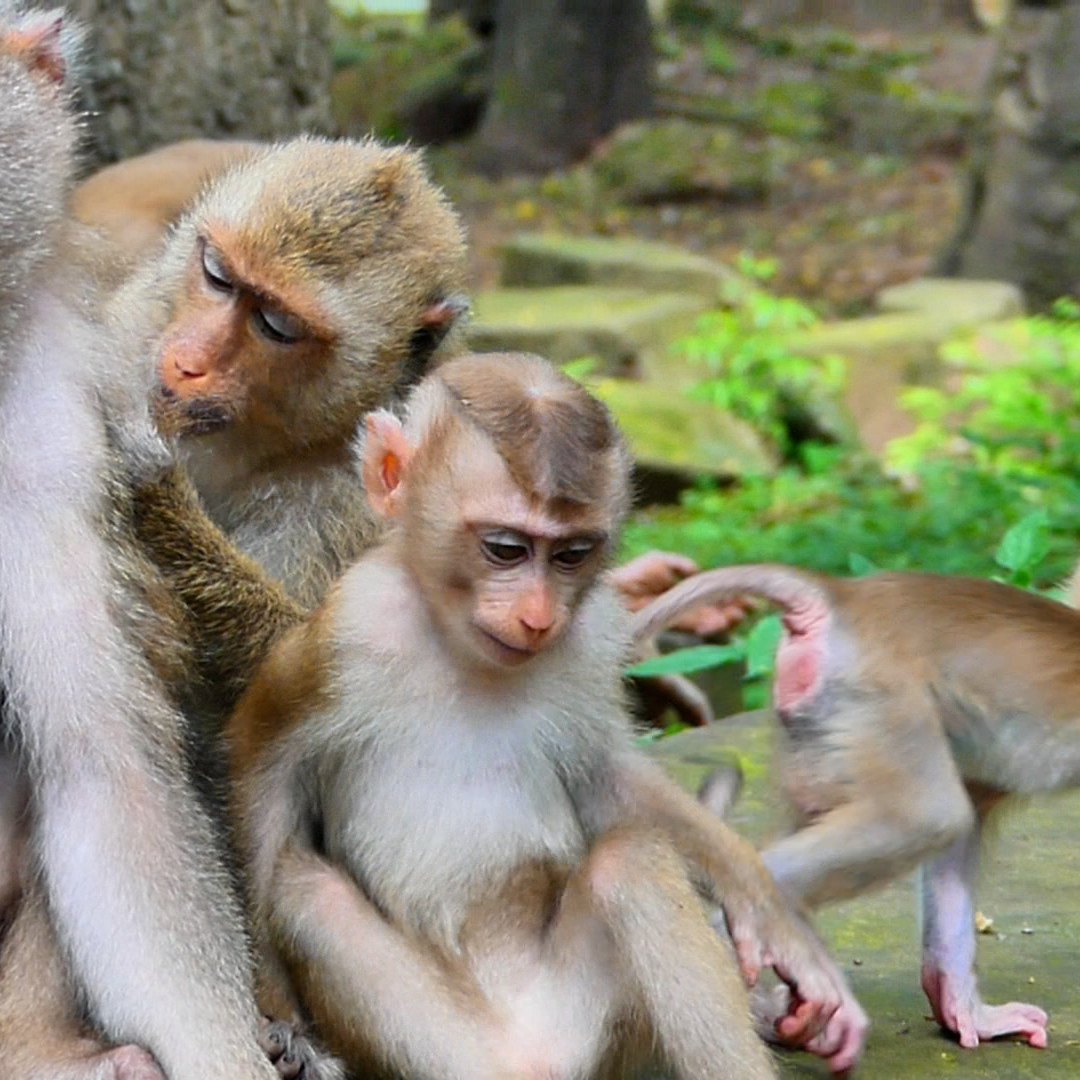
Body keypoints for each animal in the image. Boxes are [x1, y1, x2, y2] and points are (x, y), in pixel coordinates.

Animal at [226, 352, 870, 1078]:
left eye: (570, 555)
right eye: (506, 549)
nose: (537, 617)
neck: (458, 647)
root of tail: (531, 1054)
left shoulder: (591, 641)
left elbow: (606, 776)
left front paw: (772, 917)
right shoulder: (346, 629)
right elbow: (263, 764)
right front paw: (283, 1020)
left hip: (598, 1035)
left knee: (632, 864)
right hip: (436, 1047)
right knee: (303, 888)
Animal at [632, 562, 1080, 1052]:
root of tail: (839, 596)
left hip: (824, 727)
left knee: (950, 812)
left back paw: (959, 1004)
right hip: (874, 698)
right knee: (928, 816)